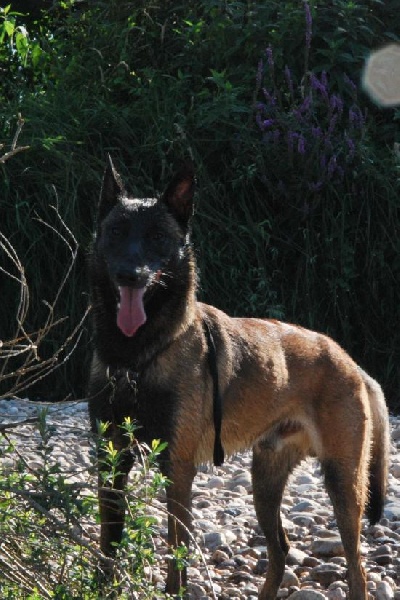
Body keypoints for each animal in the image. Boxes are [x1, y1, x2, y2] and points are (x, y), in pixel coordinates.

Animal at [88, 157, 390, 600]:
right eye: (116, 232)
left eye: (158, 236)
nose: (130, 274)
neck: (137, 356)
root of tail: (351, 362)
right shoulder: (110, 461)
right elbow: (108, 544)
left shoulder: (177, 468)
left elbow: (177, 553)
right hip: (264, 482)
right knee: (281, 548)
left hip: (343, 483)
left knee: (357, 568)